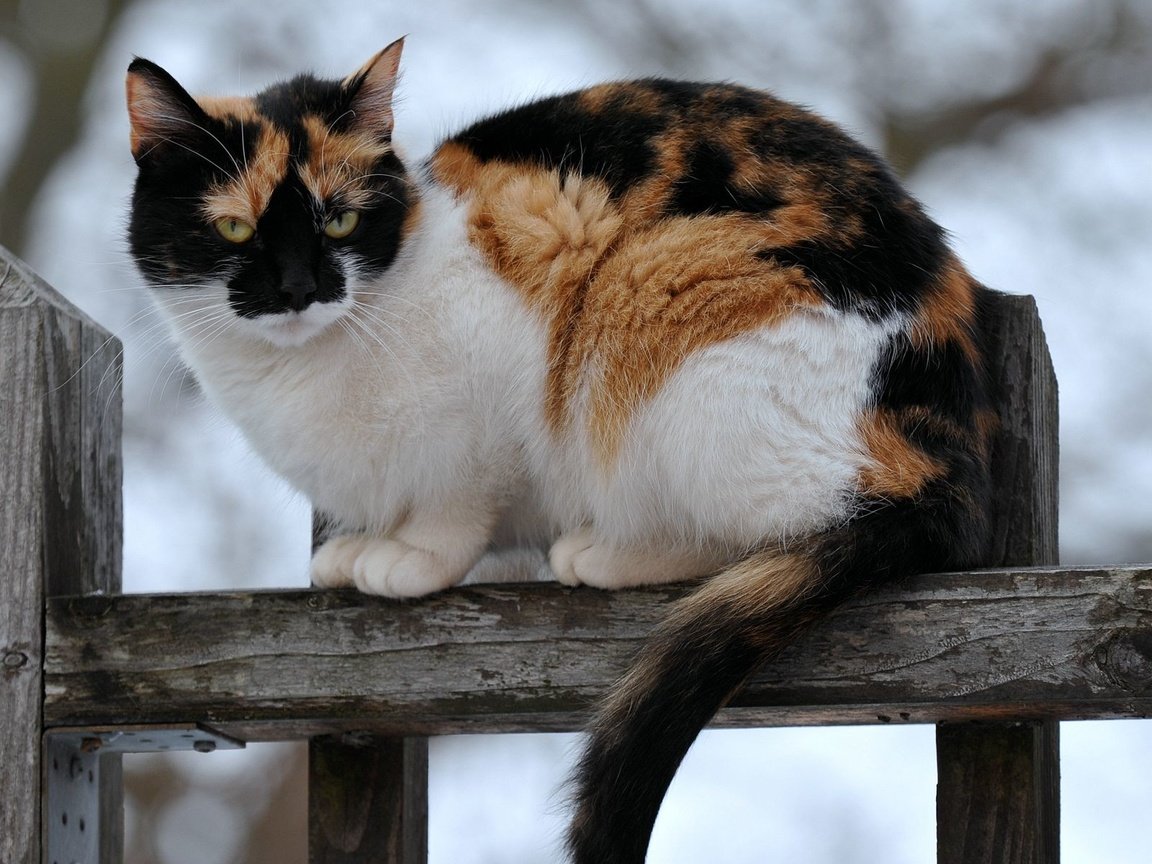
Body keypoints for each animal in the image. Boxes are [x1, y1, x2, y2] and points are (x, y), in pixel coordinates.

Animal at [123, 37, 990, 864]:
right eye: (234, 228)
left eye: (338, 221)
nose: (301, 289)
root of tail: (942, 470)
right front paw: (358, 548)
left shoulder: (501, 349)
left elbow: (458, 500)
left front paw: (410, 557)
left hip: (654, 294)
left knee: (768, 524)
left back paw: (603, 551)